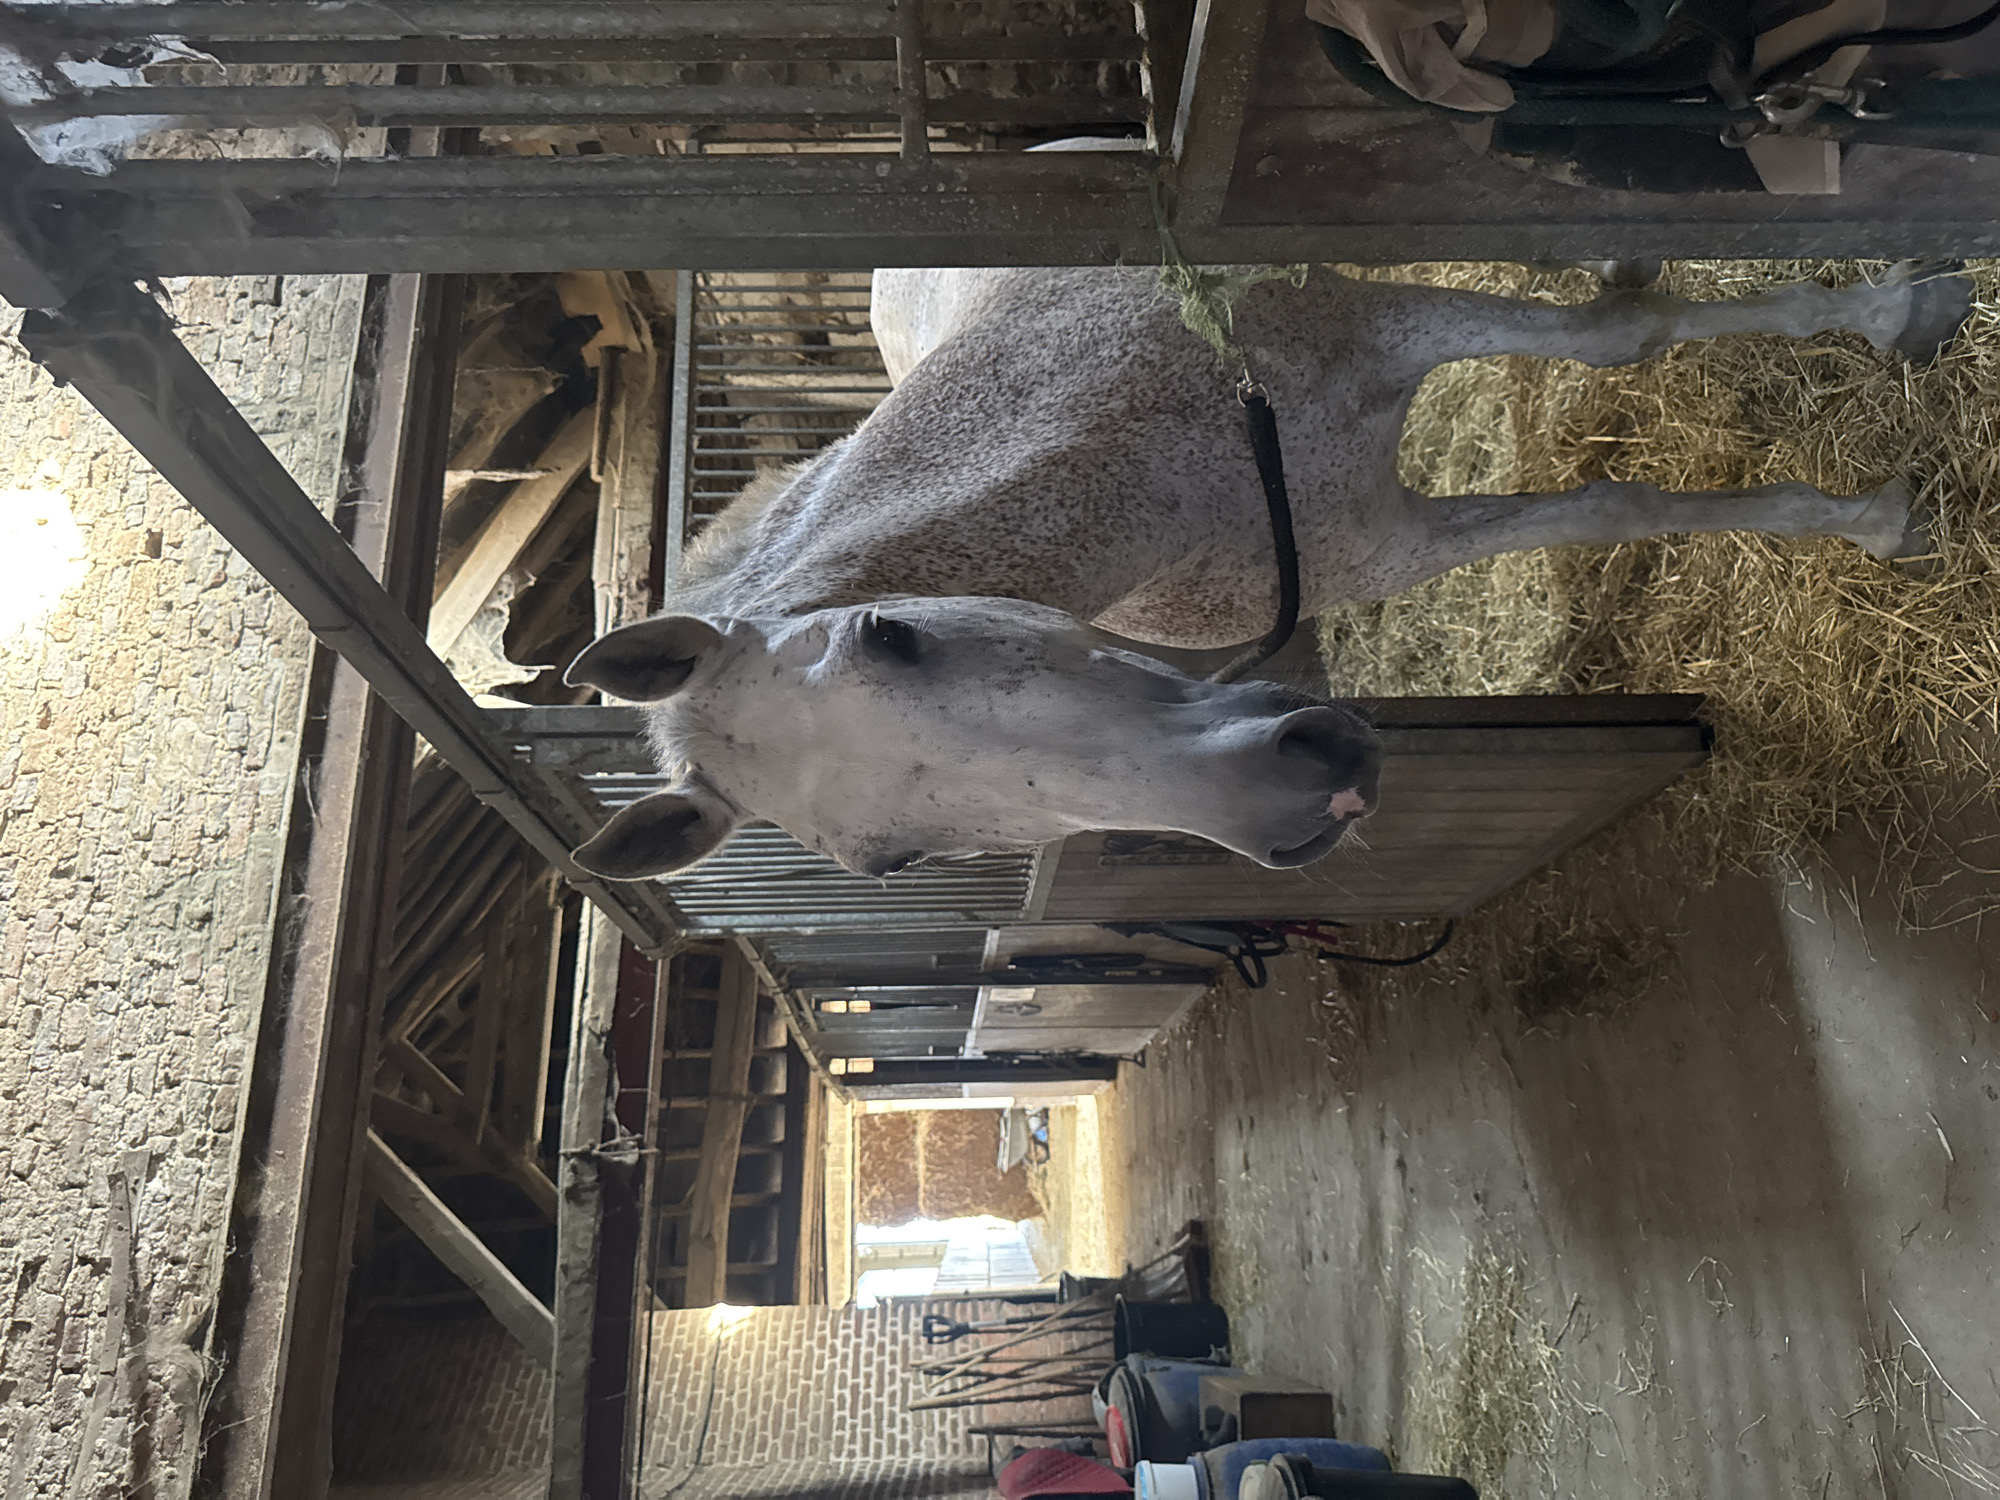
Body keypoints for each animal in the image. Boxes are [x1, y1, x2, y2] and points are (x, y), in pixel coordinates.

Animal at [563, 260, 1969, 881]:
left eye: (888, 638)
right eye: (886, 864)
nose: (1307, 801)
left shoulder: (1381, 314)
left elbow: (1618, 335)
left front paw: (1893, 379)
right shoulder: (1389, 534)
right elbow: (1604, 499)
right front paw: (1866, 511)